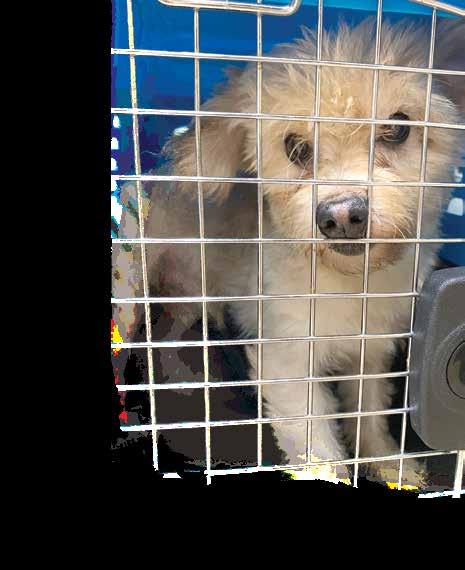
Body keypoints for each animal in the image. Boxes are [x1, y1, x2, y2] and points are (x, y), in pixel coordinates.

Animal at [113, 17, 465, 486]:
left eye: (398, 128)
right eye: (295, 147)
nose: (341, 216)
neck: (350, 282)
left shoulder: (371, 351)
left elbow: (369, 412)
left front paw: (388, 461)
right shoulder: (288, 360)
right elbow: (317, 441)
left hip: (189, 295)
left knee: (169, 336)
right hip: (136, 284)